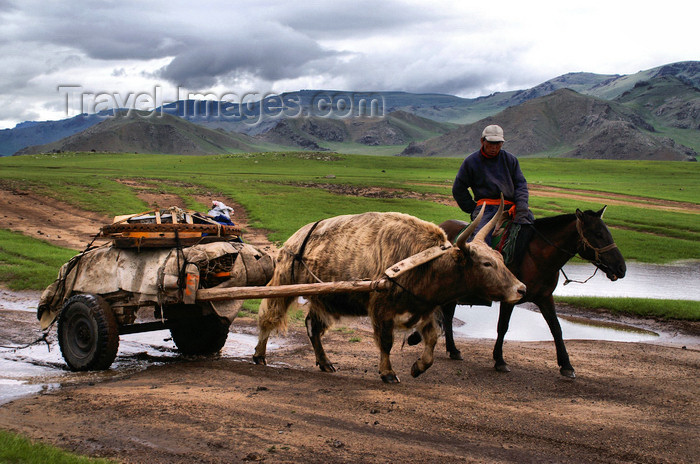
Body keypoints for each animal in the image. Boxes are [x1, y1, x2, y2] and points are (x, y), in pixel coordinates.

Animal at [434, 208, 628, 378]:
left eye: (608, 233)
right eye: (598, 234)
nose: (621, 268)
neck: (537, 257)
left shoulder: (545, 298)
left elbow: (556, 328)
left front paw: (566, 366)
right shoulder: (510, 299)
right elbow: (502, 327)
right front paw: (500, 360)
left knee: (448, 318)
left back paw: (453, 350)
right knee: (448, 317)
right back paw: (452, 349)